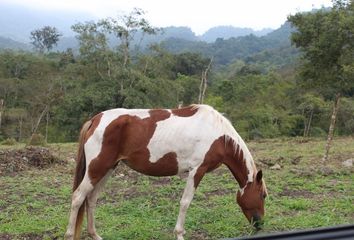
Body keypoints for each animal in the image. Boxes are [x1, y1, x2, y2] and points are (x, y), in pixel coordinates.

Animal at [65, 104, 266, 239]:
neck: (220, 136)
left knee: (91, 198)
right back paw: (69, 234)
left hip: (107, 169)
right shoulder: (197, 170)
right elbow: (185, 202)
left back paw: (95, 235)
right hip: (97, 168)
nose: (259, 224)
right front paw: (179, 234)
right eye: (263, 195)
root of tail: (95, 120)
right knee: (78, 197)